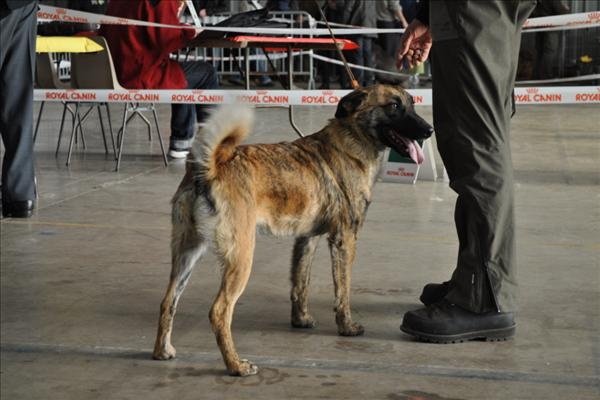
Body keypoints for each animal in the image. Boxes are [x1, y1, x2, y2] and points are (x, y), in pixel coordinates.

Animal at [152, 84, 433, 376]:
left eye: (412, 104)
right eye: (394, 106)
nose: (429, 130)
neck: (352, 138)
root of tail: (209, 168)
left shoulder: (306, 239)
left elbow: (300, 282)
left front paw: (301, 320)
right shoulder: (344, 240)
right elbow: (343, 290)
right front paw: (347, 326)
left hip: (187, 253)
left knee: (168, 301)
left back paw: (162, 351)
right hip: (241, 257)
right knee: (219, 312)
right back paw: (236, 365)